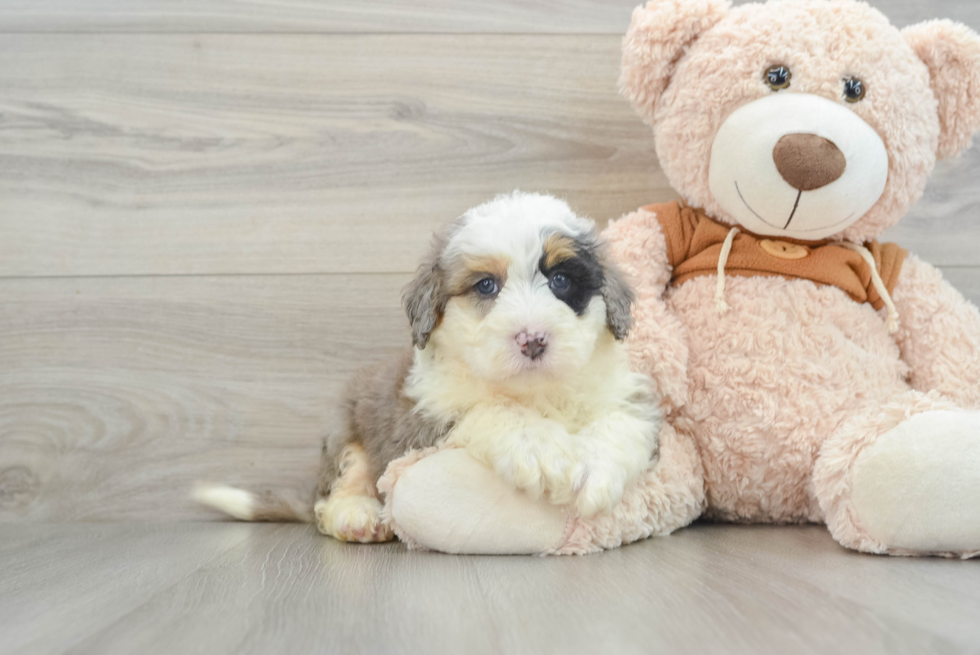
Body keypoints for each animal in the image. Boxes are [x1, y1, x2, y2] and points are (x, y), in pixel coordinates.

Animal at [195, 193, 664, 544]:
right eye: (486, 286)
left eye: (562, 281)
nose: (532, 339)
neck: (533, 390)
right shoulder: (426, 419)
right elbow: (492, 410)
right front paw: (541, 450)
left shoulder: (625, 393)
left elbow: (622, 422)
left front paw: (593, 472)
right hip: (345, 433)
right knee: (331, 498)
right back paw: (359, 516)